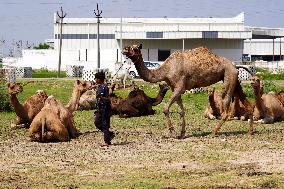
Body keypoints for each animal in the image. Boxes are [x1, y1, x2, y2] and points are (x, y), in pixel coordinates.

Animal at [123, 44, 254, 137]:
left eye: (135, 48)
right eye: (129, 46)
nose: (124, 49)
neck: (166, 70)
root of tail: (235, 66)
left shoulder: (179, 87)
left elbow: (165, 108)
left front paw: (173, 132)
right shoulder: (176, 88)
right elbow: (182, 111)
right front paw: (182, 133)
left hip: (228, 77)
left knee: (225, 109)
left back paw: (213, 133)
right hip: (235, 80)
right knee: (248, 104)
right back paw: (250, 132)